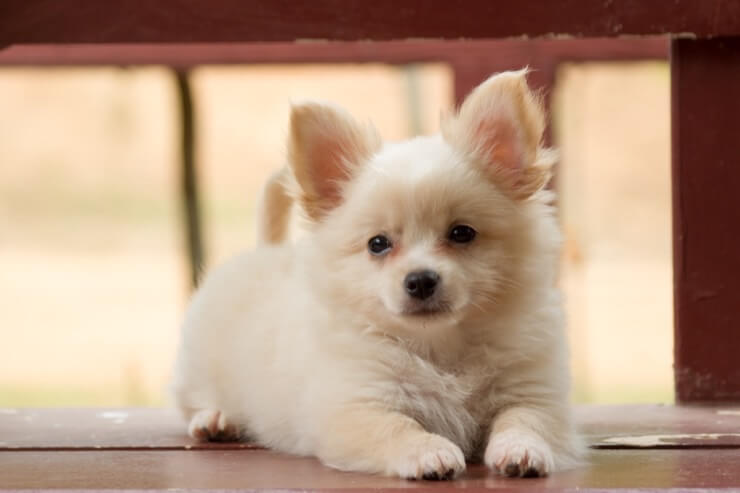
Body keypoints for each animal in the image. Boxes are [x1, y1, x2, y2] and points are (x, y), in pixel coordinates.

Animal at [172, 70, 584, 480]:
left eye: (461, 233)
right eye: (378, 244)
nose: (420, 280)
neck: (439, 346)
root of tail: (265, 250)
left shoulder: (532, 392)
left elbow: (523, 420)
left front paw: (521, 451)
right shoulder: (357, 405)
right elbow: (398, 426)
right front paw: (429, 453)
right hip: (198, 365)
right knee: (194, 399)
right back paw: (215, 419)